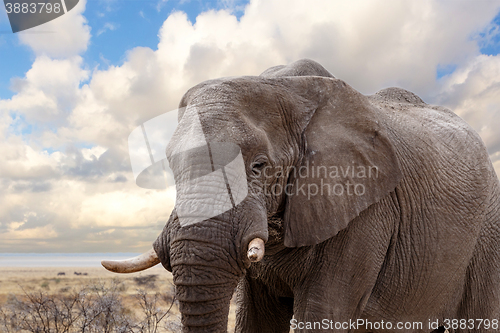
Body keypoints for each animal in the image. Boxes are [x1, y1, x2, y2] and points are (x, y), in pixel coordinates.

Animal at [101, 58, 500, 330]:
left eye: (259, 166)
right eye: (171, 165)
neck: (285, 85)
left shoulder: (367, 213)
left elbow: (321, 314)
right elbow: (257, 321)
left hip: (487, 232)